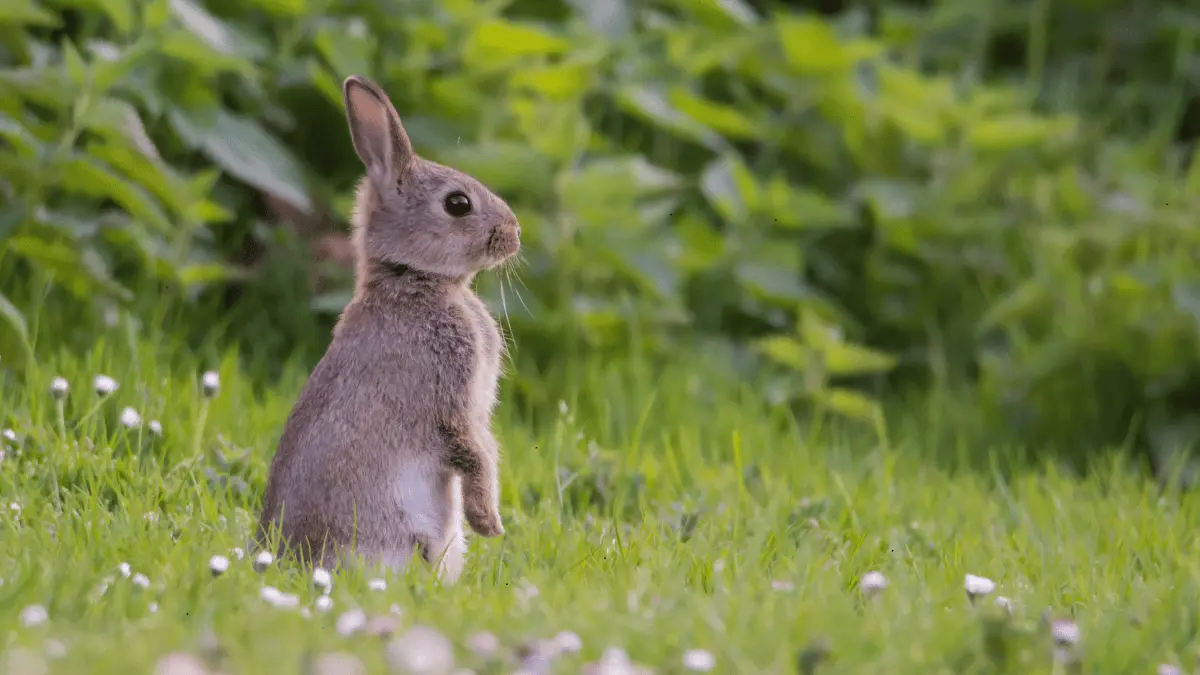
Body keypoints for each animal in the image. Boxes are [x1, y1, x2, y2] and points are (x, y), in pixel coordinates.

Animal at [255, 72, 523, 578]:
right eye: (458, 204)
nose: (515, 234)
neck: (412, 280)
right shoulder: (451, 398)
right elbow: (474, 453)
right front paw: (489, 523)